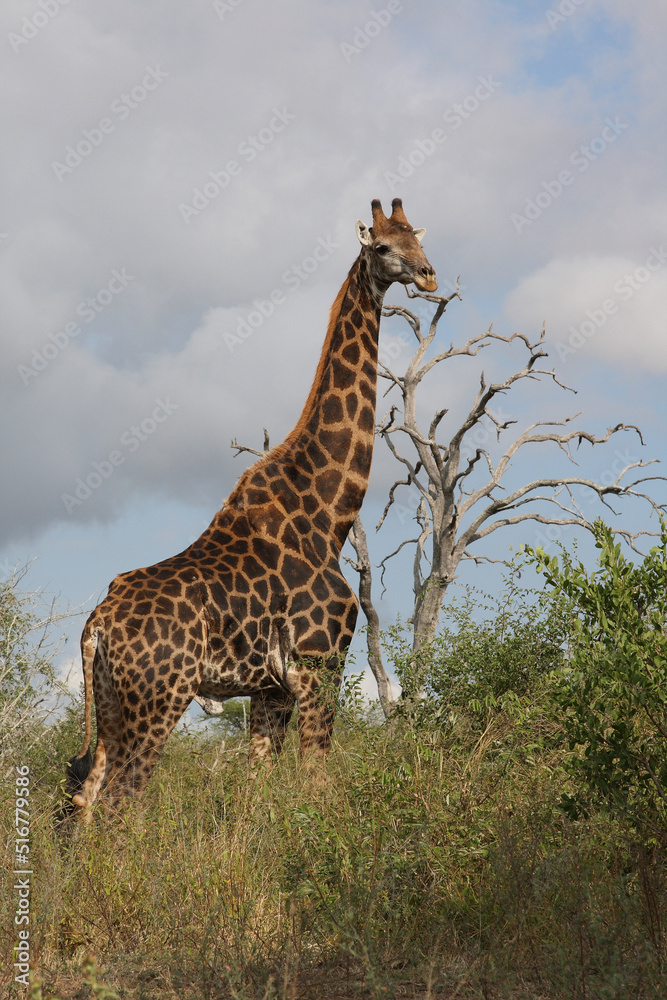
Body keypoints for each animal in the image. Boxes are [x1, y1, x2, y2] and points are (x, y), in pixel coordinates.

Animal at [65, 198, 437, 817]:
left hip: (113, 706)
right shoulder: (319, 664)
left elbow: (256, 795)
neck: (328, 514)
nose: (430, 276)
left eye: (420, 239)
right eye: (384, 246)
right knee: (120, 801)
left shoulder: (269, 690)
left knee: (85, 801)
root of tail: (98, 623)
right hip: (159, 700)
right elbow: (316, 782)